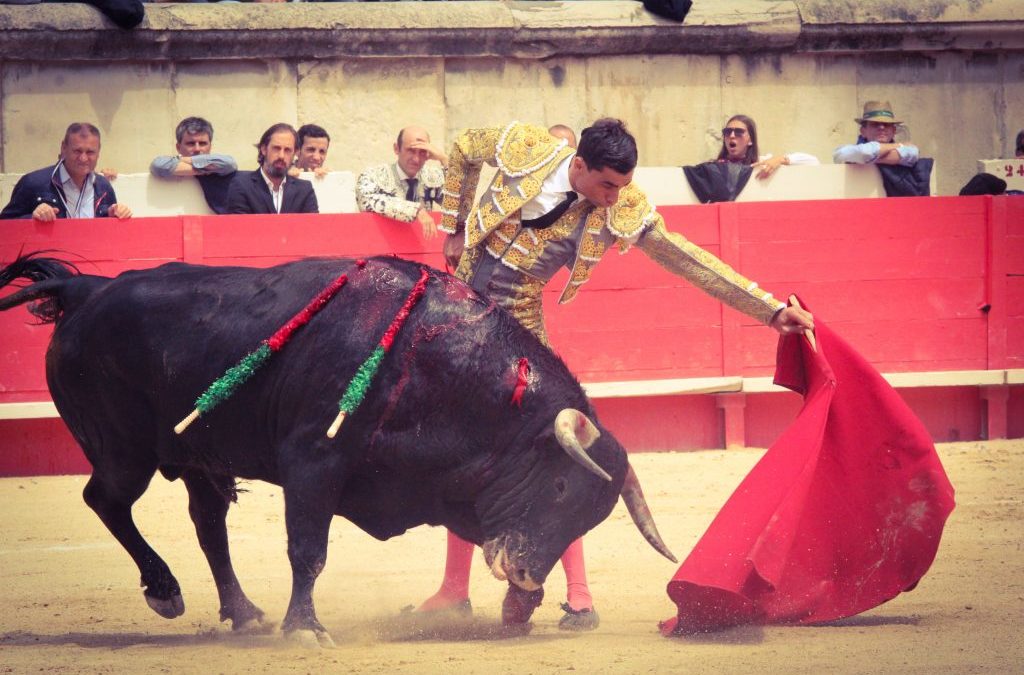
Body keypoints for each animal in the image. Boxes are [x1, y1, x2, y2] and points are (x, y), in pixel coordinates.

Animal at [0, 254, 675, 643]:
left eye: (590, 515)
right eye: (559, 485)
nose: (528, 572)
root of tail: (88, 290)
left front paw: (521, 607)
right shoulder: (311, 463)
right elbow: (309, 550)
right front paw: (305, 630)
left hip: (196, 456)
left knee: (207, 524)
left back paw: (243, 612)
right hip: (124, 451)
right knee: (107, 501)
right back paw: (166, 591)